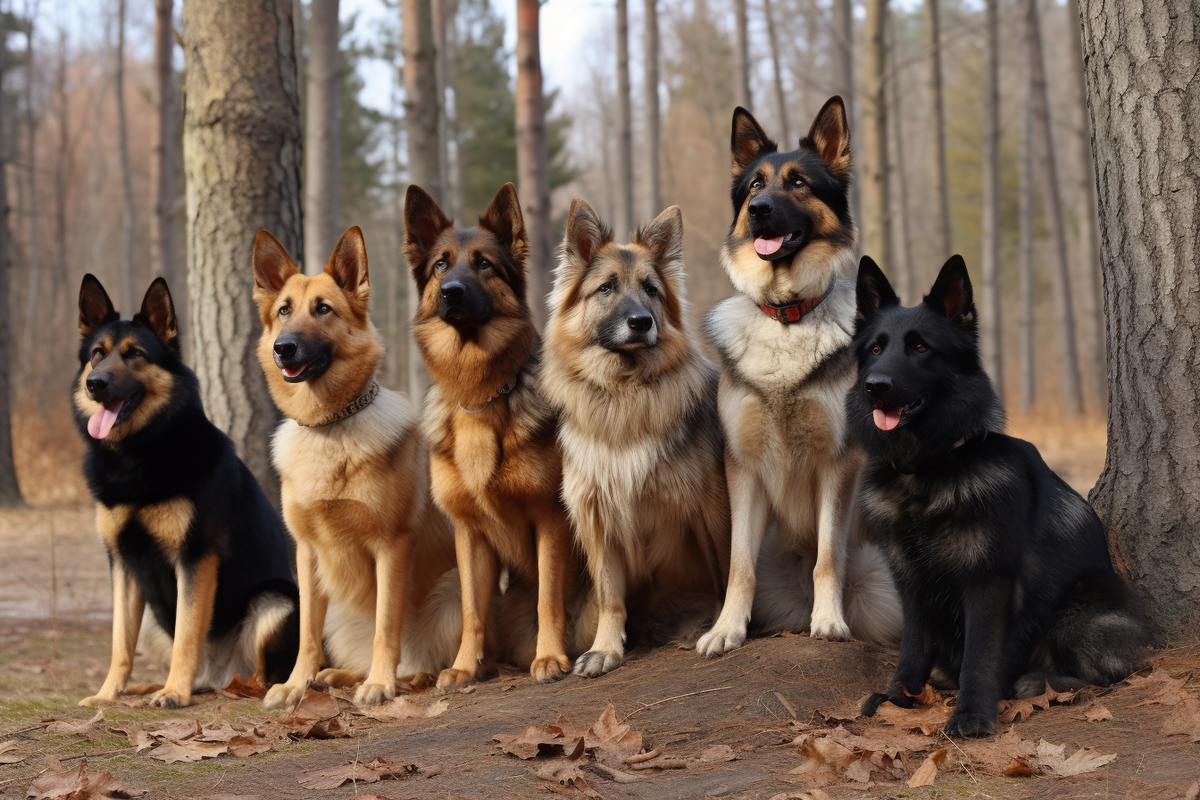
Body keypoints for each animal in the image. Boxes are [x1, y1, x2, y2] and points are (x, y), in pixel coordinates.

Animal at [73, 275, 298, 705]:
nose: (95, 384)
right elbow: (119, 643)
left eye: (135, 354)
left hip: (275, 603)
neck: (142, 452)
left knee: (264, 675)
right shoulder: (124, 565)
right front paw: (107, 694)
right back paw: (151, 685)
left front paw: (174, 693)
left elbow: (187, 634)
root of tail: (218, 675)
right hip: (151, 617)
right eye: (97, 354)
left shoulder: (195, 559)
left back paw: (229, 687)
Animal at [405, 184, 583, 690]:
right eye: (441, 265)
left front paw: (549, 657)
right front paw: (466, 666)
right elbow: (473, 609)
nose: (452, 292)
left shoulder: (550, 520)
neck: (479, 397)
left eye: (483, 263)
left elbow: (549, 597)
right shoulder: (470, 535)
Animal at [849, 256, 1147, 738]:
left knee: (1108, 675)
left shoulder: (987, 582)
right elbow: (912, 647)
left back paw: (1037, 682)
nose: (875, 385)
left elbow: (980, 655)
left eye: (920, 348)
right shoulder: (909, 582)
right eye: (875, 350)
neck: (929, 469)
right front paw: (900, 697)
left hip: (1079, 605)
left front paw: (971, 714)